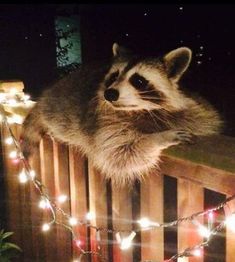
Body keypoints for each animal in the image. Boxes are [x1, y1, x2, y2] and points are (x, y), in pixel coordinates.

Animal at [20, 43, 222, 186]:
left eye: (138, 81)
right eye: (114, 76)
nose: (109, 94)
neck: (139, 109)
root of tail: (49, 94)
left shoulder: (192, 110)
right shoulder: (104, 124)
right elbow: (119, 154)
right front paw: (160, 137)